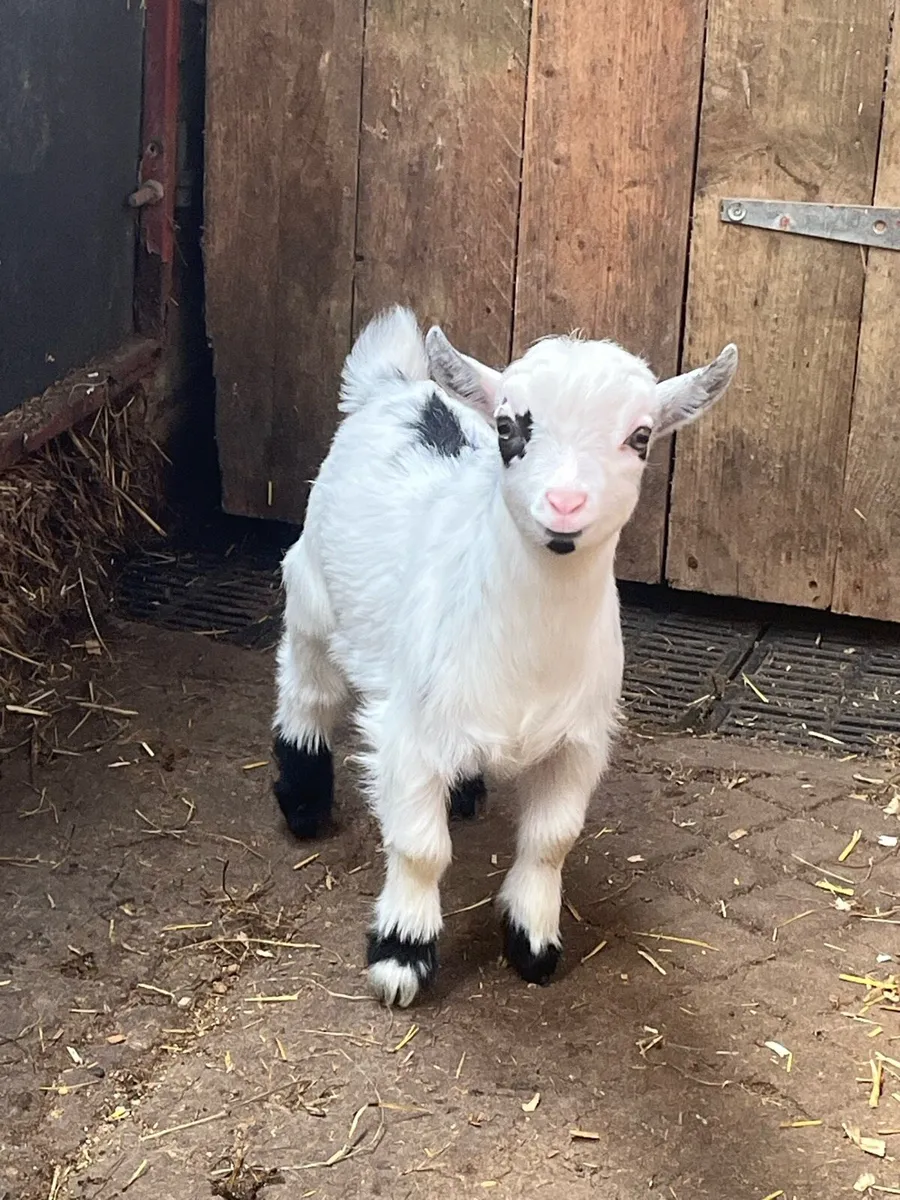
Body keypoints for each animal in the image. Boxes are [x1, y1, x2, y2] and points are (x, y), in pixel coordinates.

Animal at [272, 306, 737, 1007]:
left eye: (640, 437)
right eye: (508, 426)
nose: (566, 505)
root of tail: (396, 385)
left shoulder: (579, 740)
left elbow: (551, 841)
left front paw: (533, 942)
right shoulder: (409, 732)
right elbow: (420, 849)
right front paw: (402, 954)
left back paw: (464, 791)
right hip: (312, 593)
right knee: (308, 690)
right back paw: (302, 800)